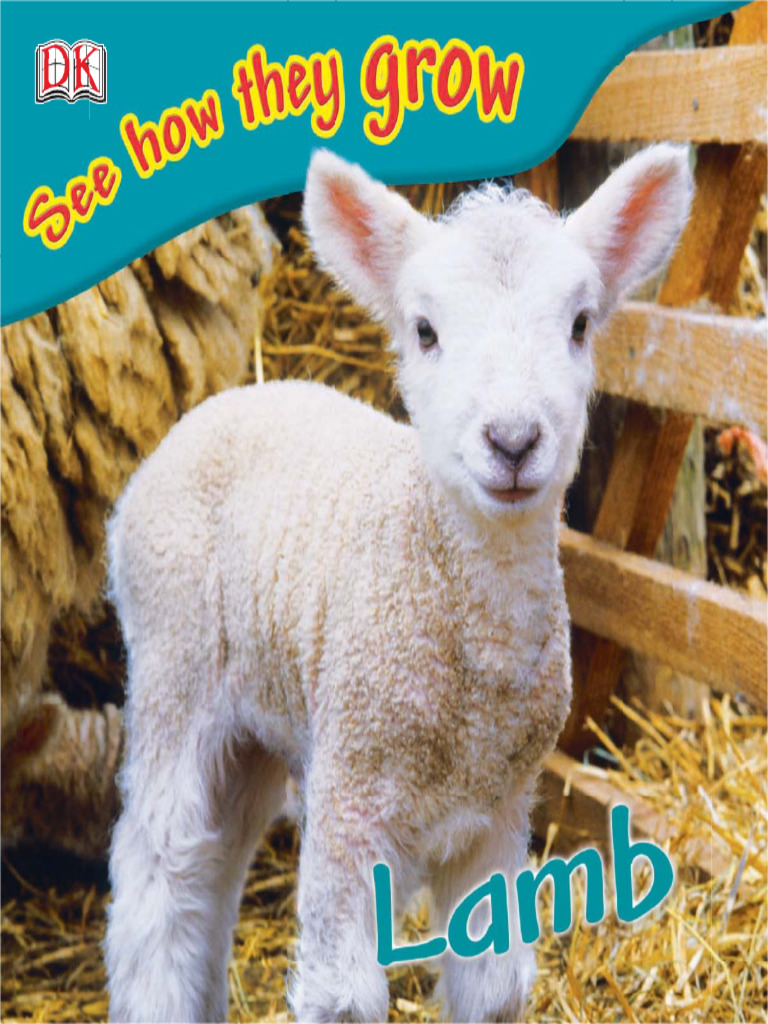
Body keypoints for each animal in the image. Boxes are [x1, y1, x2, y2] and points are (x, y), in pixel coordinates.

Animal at [105, 145, 692, 1023]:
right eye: (425, 331)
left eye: (581, 325)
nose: (512, 440)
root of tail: (220, 405)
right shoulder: (350, 800)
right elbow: (344, 998)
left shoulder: (499, 810)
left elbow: (494, 988)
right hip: (174, 663)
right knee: (160, 875)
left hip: (257, 720)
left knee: (216, 869)